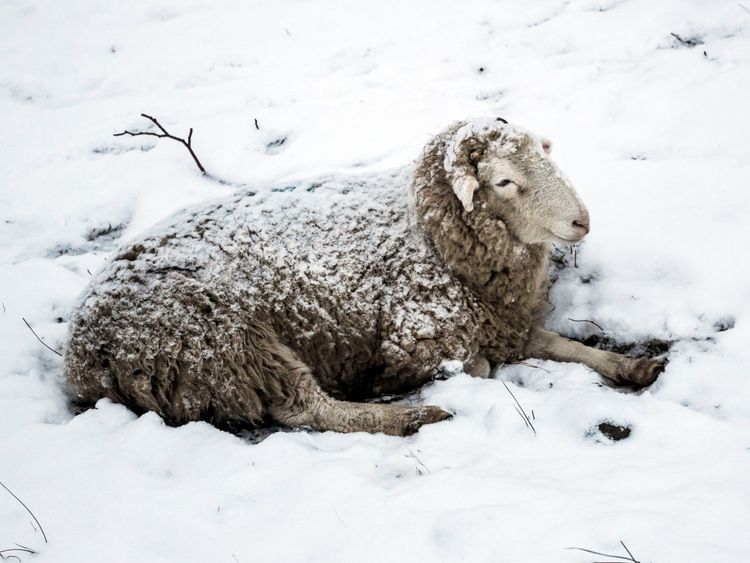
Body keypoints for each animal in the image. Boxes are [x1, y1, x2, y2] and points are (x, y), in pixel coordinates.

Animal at [64, 117, 665, 436]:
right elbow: (479, 366)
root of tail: (83, 353)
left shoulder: (498, 323)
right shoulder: (430, 340)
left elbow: (564, 346)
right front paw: (393, 386)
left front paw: (631, 367)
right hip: (225, 340)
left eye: (544, 154)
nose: (581, 220)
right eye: (503, 181)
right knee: (304, 407)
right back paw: (410, 414)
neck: (430, 235)